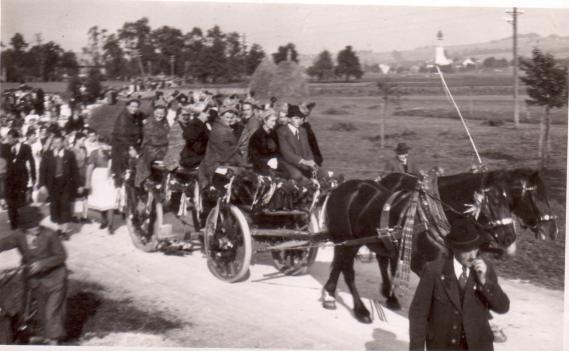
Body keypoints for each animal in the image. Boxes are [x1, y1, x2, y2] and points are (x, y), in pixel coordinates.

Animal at [322, 170, 516, 324]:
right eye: (495, 201)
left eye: (510, 202)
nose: (510, 237)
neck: (430, 215)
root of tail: (338, 189)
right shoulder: (422, 264)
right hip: (346, 240)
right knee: (347, 270)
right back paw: (357, 308)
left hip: (361, 241)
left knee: (354, 262)